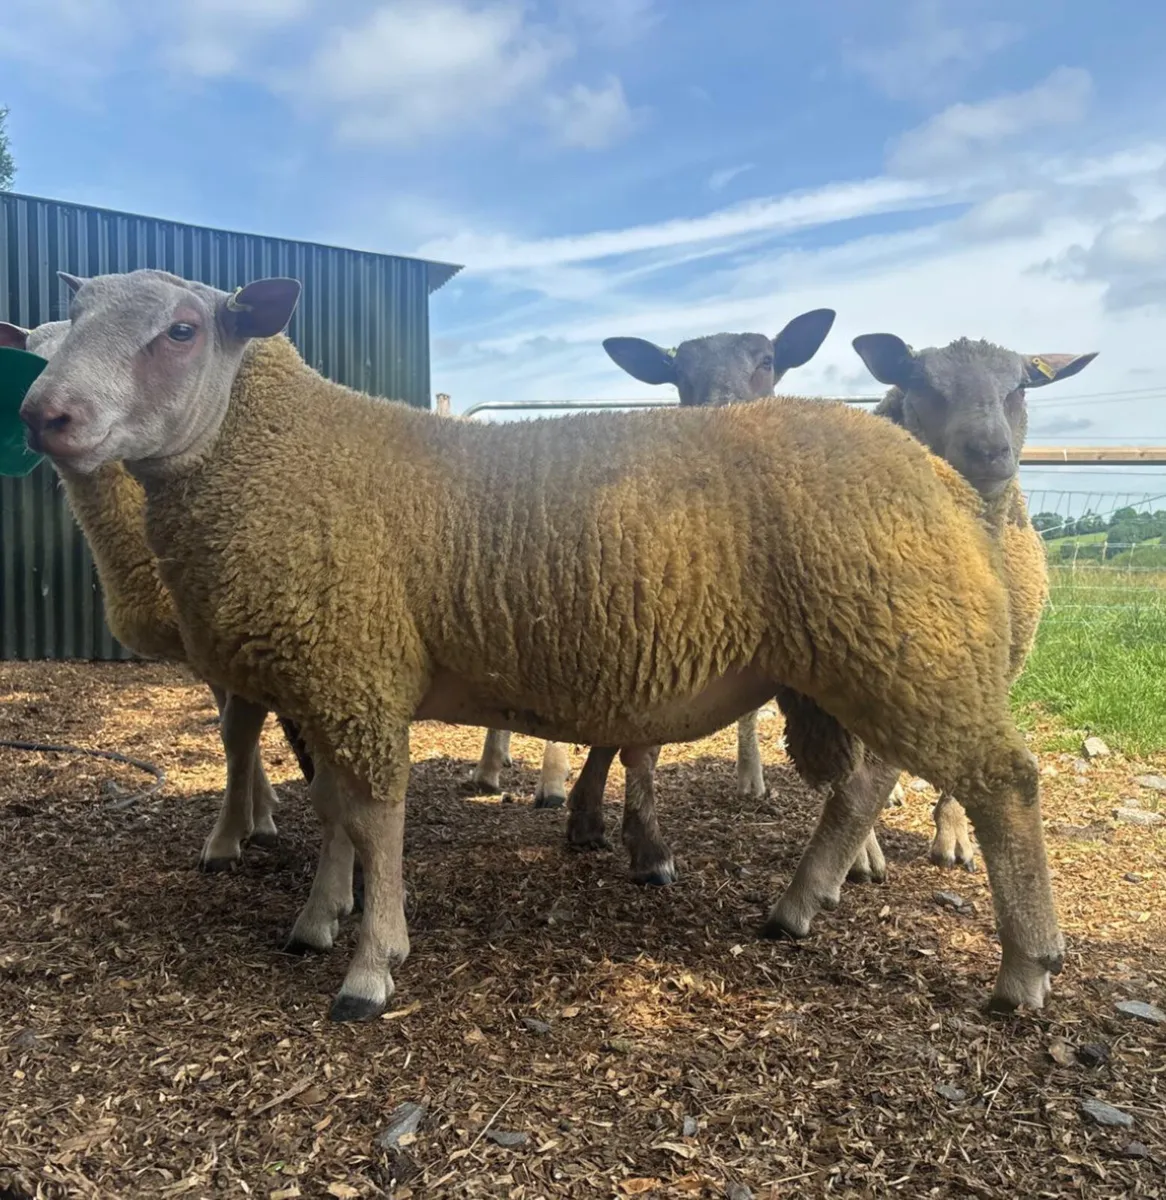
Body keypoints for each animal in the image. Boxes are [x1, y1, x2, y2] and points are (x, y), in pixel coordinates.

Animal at [0, 317, 315, 872]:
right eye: (35, 359)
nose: (49, 419)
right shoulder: (203, 654)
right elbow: (232, 733)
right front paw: (257, 812)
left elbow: (238, 733)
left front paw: (229, 836)